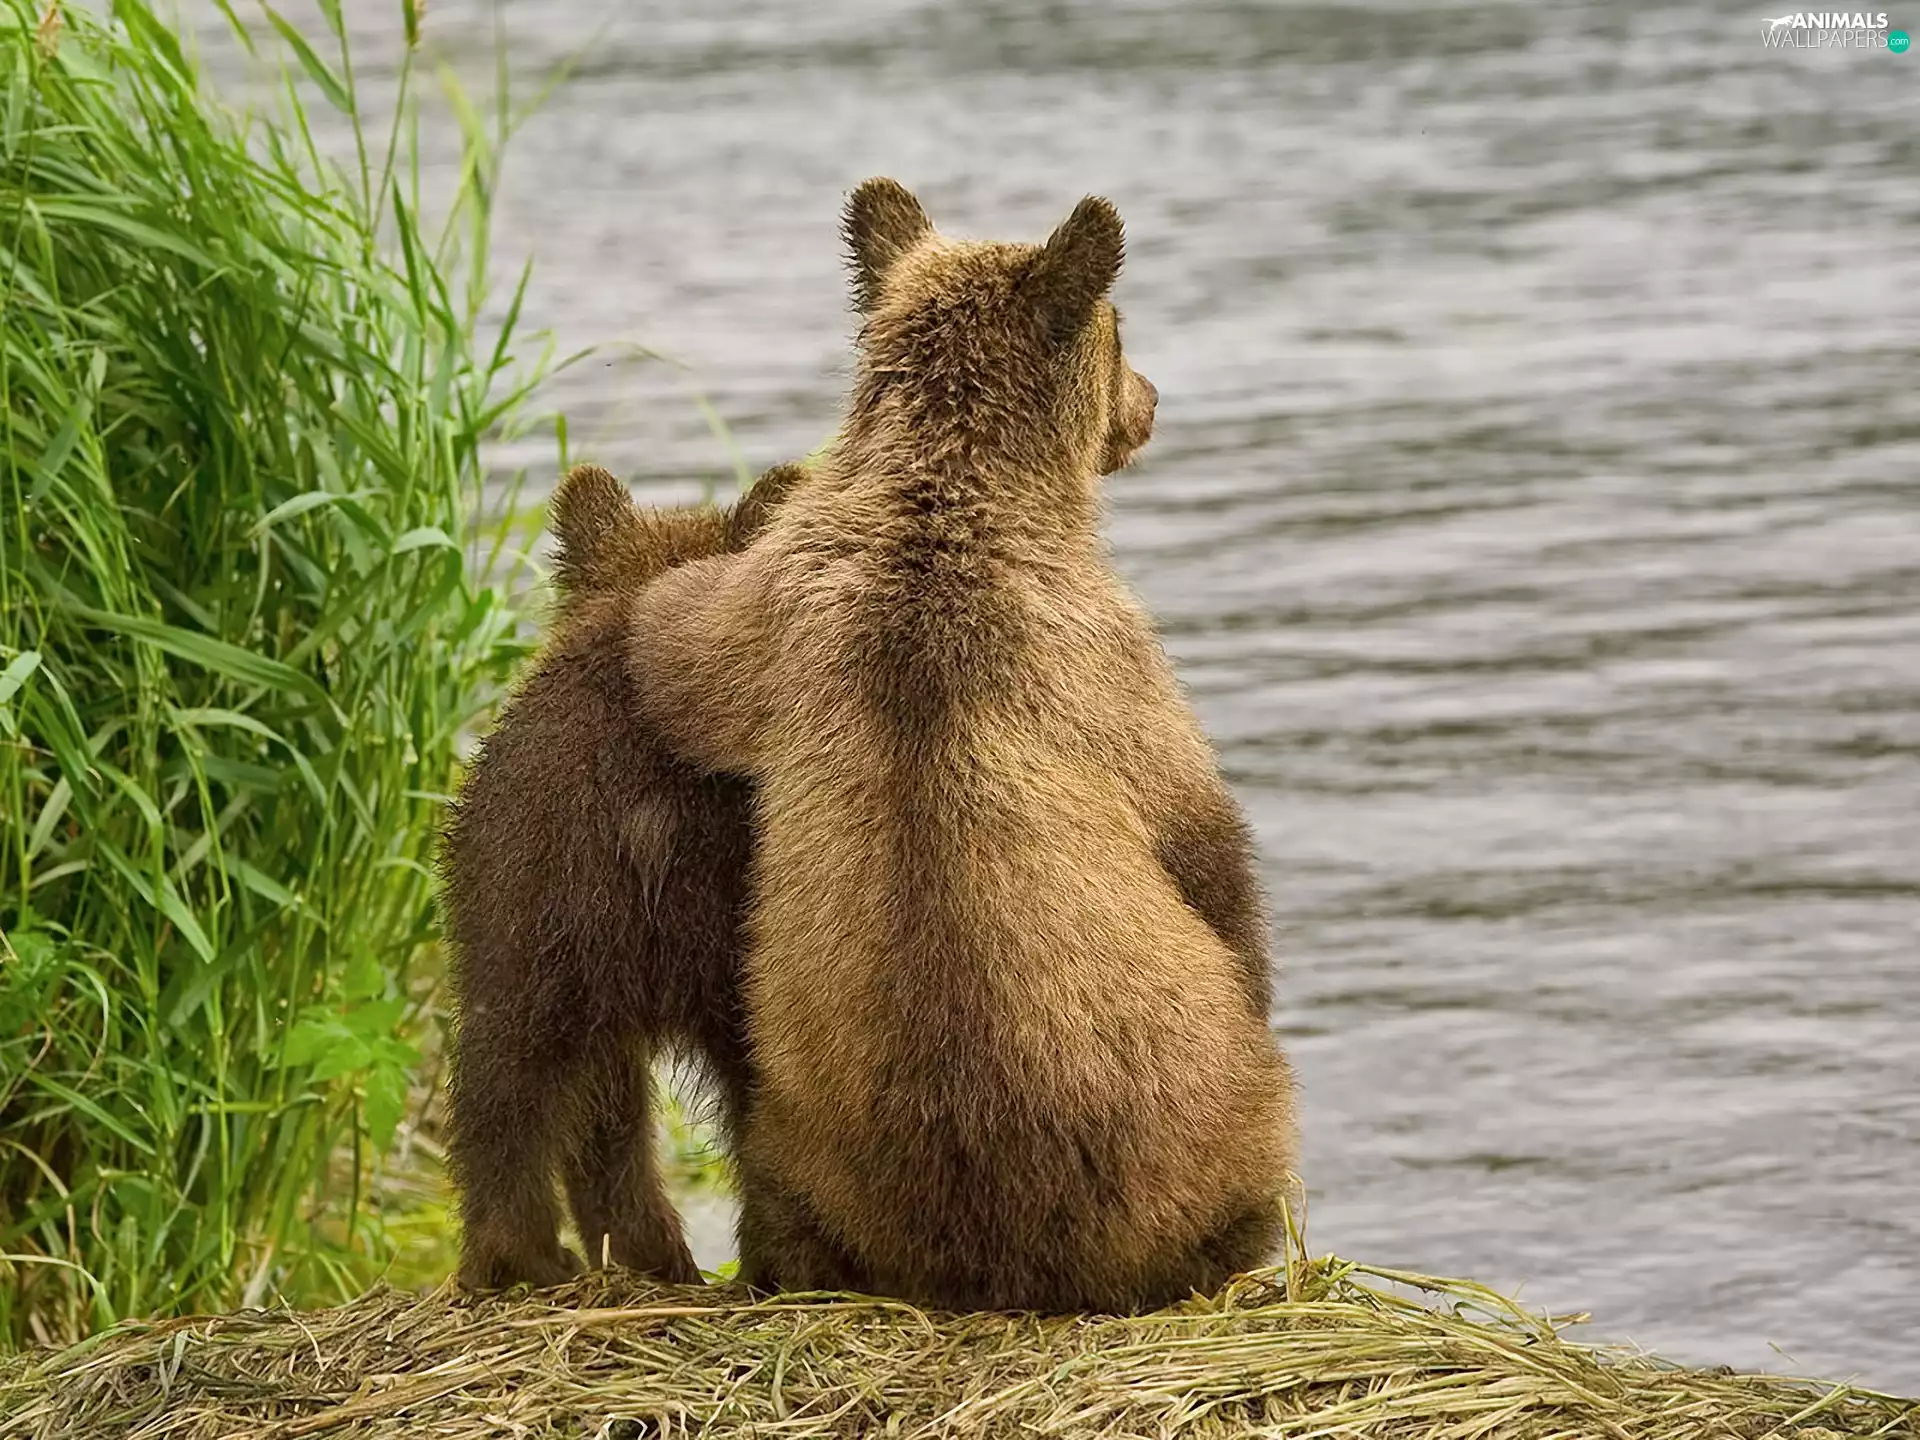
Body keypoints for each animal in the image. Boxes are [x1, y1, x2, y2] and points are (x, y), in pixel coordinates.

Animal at [612, 178, 1299, 1312]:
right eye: (1123, 328)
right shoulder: (1110, 661)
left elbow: (668, 642)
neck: (950, 479)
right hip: (1200, 1134)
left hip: (798, 1134)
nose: (1153, 400)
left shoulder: (767, 607)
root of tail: (997, 1254)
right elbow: (1203, 840)